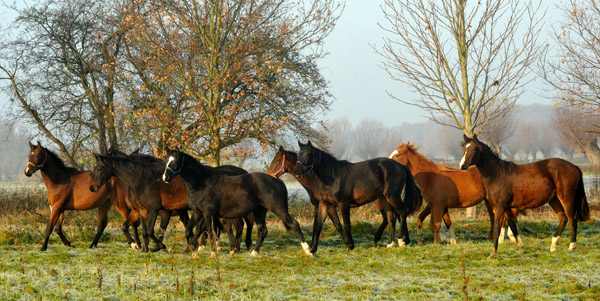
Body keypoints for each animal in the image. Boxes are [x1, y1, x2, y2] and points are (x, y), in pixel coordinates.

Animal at [162, 150, 312, 255]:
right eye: (166, 161)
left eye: (175, 161)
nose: (165, 177)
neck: (202, 182)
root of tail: (277, 181)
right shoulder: (198, 213)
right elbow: (191, 231)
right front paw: (190, 251)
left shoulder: (208, 213)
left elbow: (210, 232)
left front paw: (212, 252)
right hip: (259, 211)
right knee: (262, 230)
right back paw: (254, 253)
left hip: (279, 209)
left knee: (294, 224)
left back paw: (308, 251)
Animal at [268, 146, 404, 247]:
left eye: (276, 160)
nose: (269, 175)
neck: (317, 180)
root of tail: (400, 166)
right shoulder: (319, 205)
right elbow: (318, 224)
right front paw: (312, 246)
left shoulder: (331, 205)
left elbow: (338, 224)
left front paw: (348, 243)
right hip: (383, 199)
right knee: (391, 217)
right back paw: (388, 241)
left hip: (387, 198)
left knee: (396, 214)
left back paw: (400, 241)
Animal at [460, 134, 592, 255]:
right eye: (464, 148)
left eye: (474, 149)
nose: (462, 166)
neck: (497, 174)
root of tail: (573, 166)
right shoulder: (507, 208)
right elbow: (513, 228)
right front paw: (520, 248)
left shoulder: (500, 207)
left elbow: (497, 228)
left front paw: (493, 253)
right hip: (554, 200)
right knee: (563, 218)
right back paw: (553, 246)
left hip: (566, 198)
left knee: (572, 220)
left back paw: (571, 247)